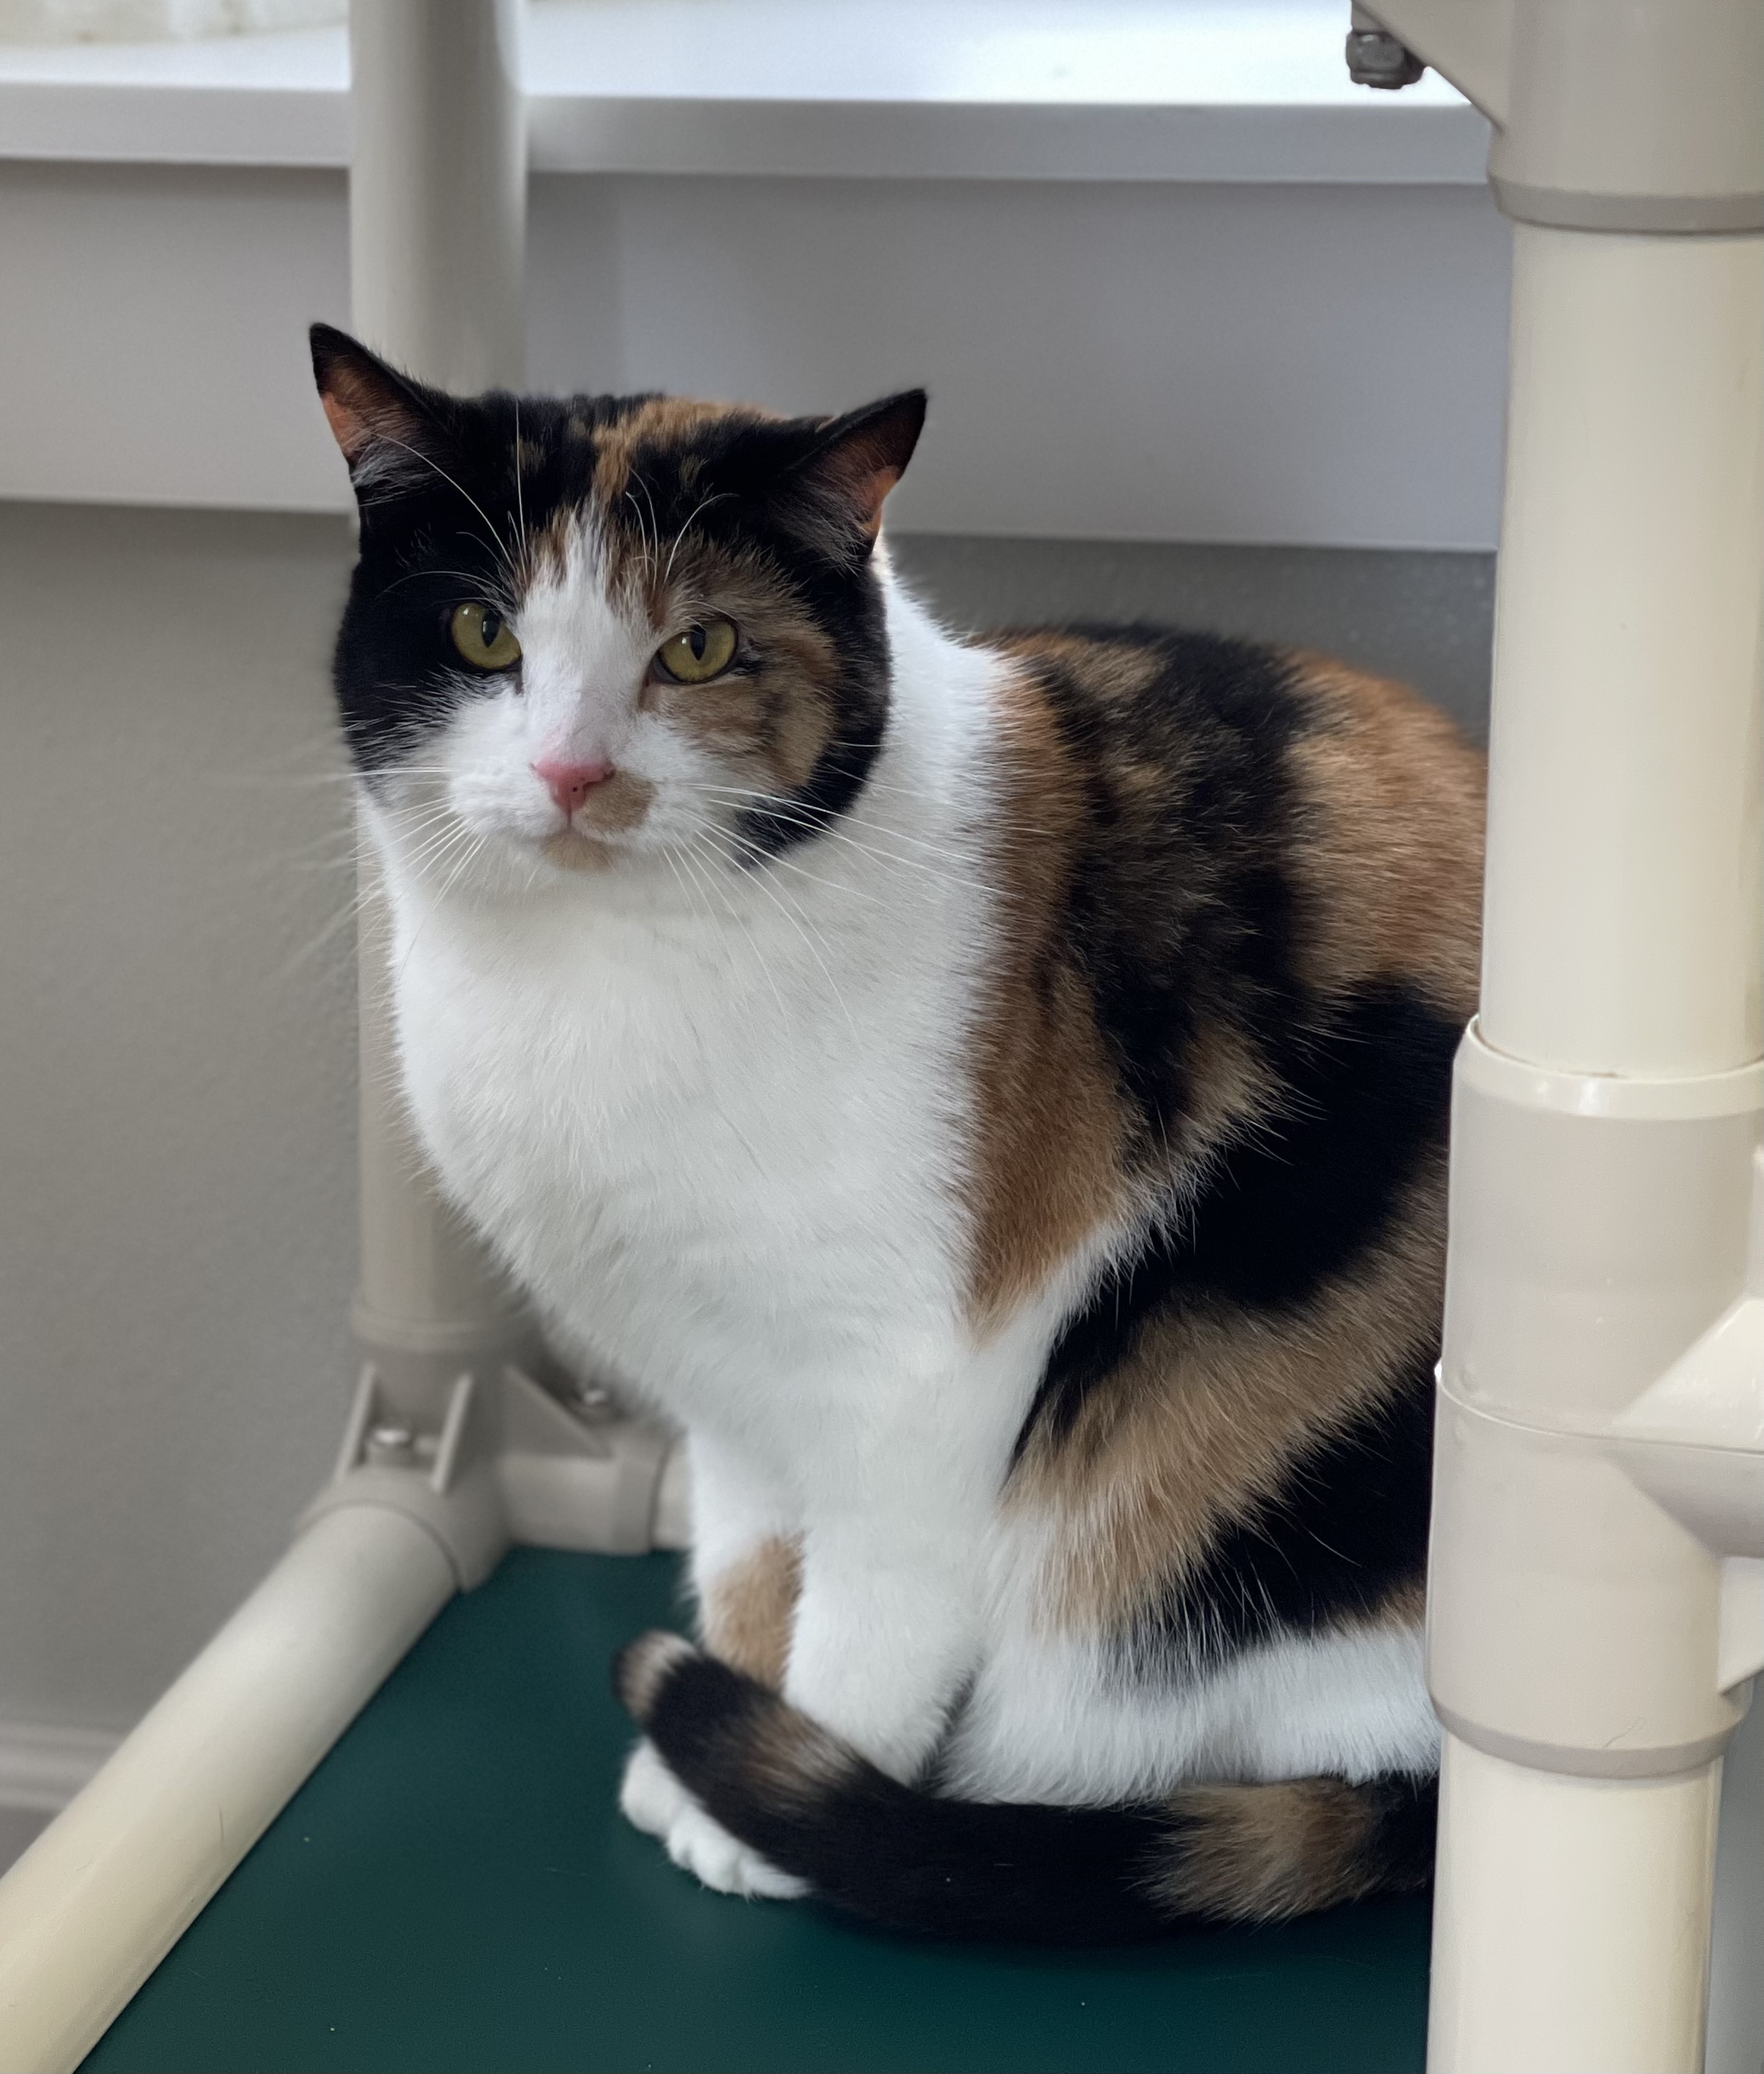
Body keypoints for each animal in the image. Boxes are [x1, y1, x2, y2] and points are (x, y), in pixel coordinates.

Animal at [311, 319, 1484, 1941]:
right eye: (487, 635)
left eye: (700, 648)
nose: (571, 774)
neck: (603, 974)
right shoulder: (724, 1384)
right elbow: (748, 1561)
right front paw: (710, 1766)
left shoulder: (924, 1369)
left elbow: (871, 1602)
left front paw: (782, 1798)